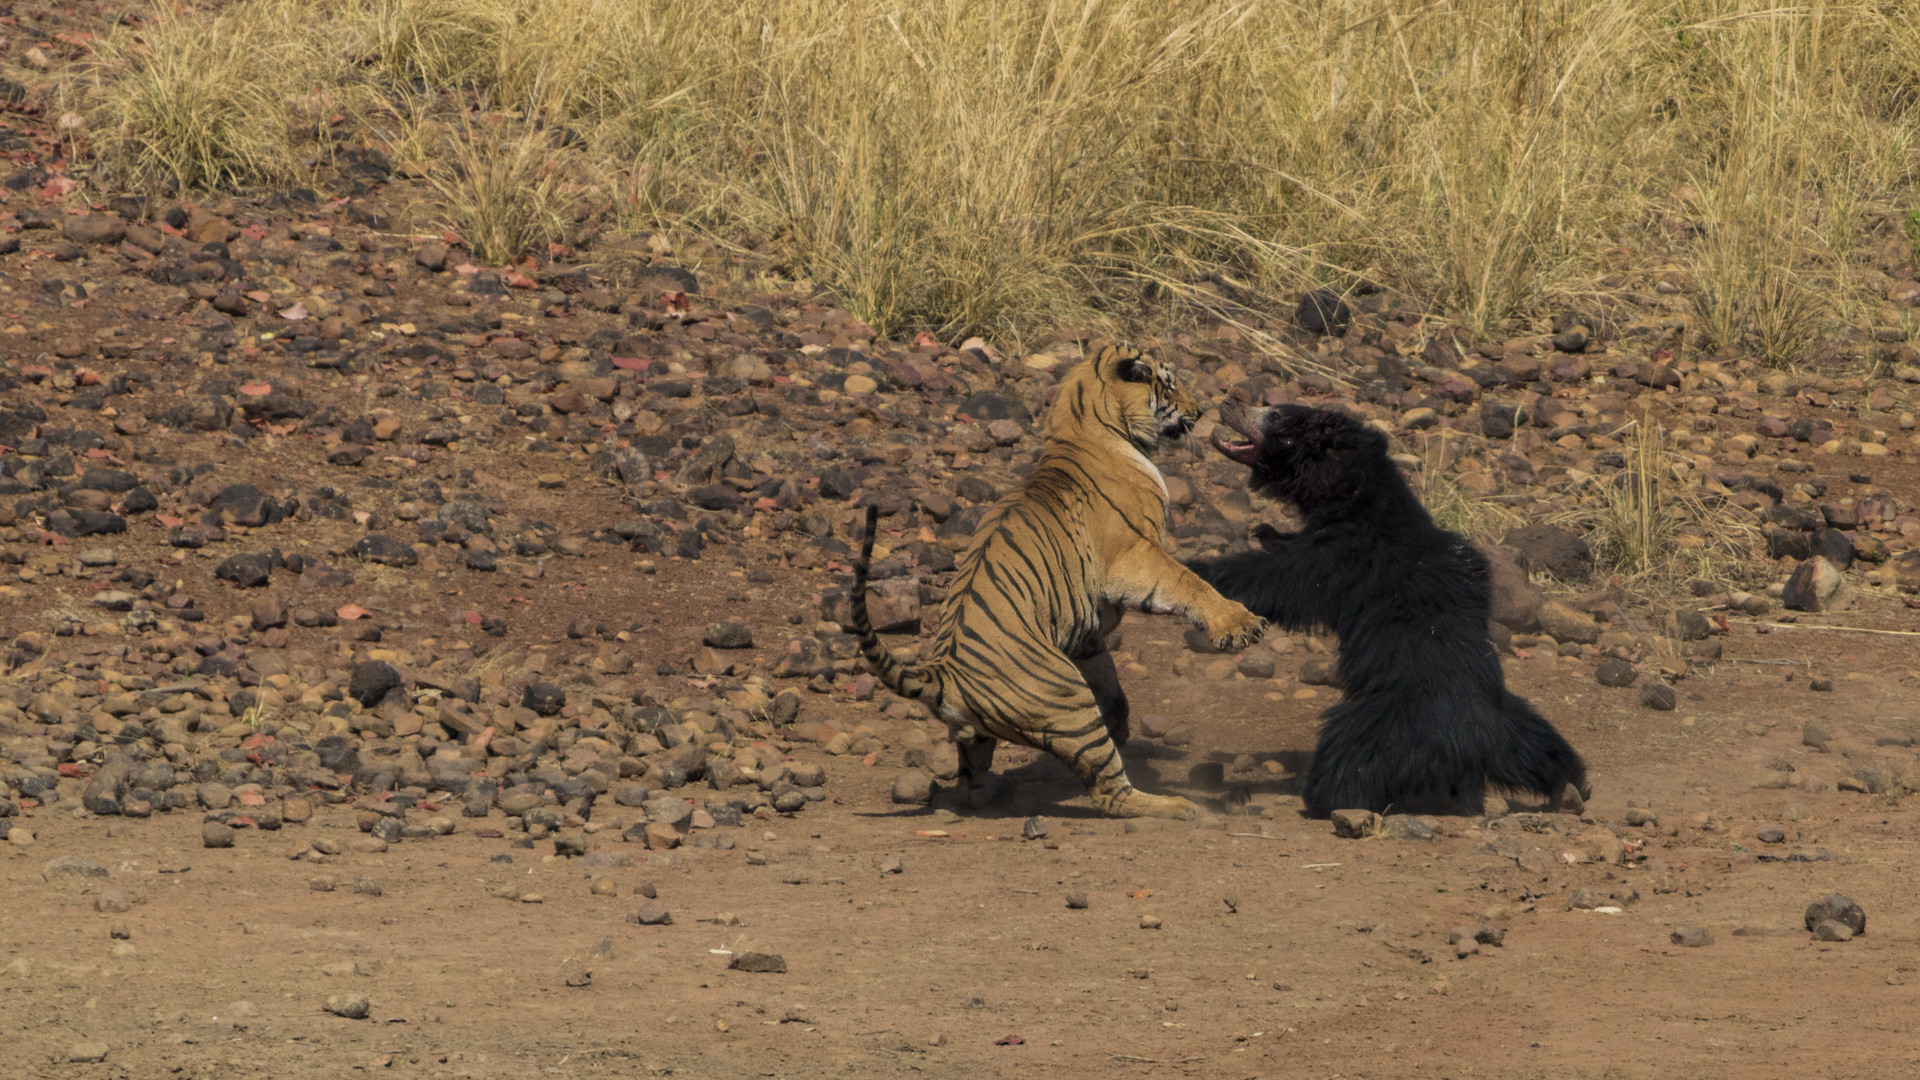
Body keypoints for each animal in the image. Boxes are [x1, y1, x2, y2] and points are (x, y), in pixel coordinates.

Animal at [847, 343, 1266, 819]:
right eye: (1170, 383)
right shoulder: (1134, 556)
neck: (1084, 425)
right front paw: (1238, 624)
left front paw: (1121, 720)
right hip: (1069, 702)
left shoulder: (1085, 632)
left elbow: (1107, 674)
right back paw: (1176, 806)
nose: (1201, 410)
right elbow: (1188, 583)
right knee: (1110, 794)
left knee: (972, 778)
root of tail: (945, 673)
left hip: (984, 734)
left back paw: (999, 790)